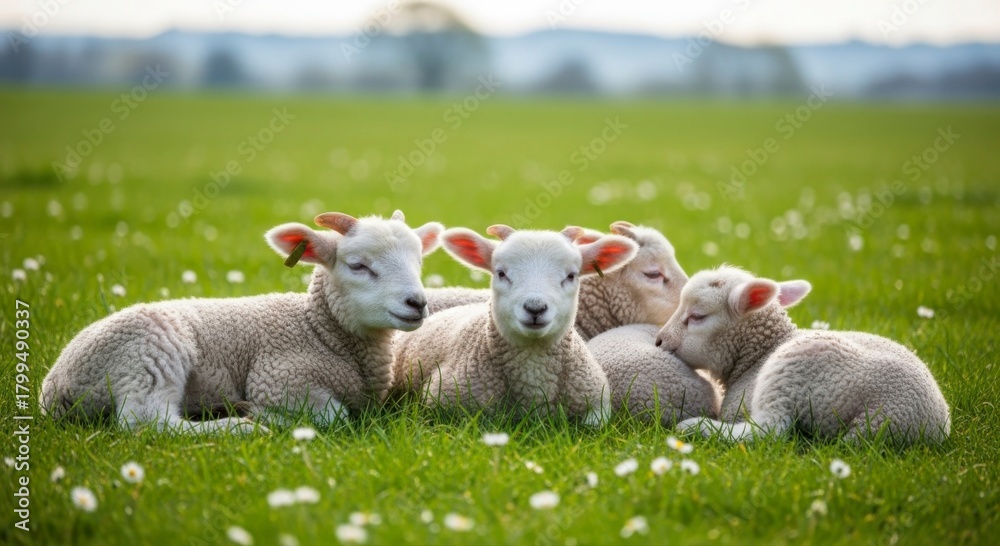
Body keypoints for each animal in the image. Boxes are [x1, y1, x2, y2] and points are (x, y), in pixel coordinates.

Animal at [40, 210, 443, 434]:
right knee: (147, 422)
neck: (318, 328)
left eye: (419, 262)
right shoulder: (278, 378)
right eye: (358, 265)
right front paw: (270, 417)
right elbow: (336, 417)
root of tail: (55, 383)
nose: (417, 303)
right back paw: (239, 425)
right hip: (149, 356)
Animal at [654, 266, 951, 445]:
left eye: (697, 316)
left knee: (771, 430)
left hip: (793, 372)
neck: (761, 353)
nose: (658, 341)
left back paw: (694, 427)